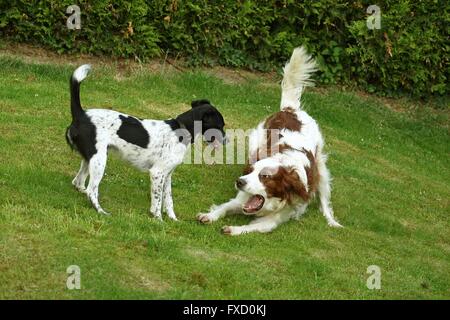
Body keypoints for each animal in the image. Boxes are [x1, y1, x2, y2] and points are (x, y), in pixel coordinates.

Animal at [65, 65, 227, 220]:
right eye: (220, 125)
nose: (227, 140)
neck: (181, 130)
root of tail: (81, 114)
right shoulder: (157, 173)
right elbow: (157, 202)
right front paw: (158, 220)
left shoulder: (168, 175)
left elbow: (168, 201)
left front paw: (173, 219)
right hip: (99, 160)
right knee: (91, 190)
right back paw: (101, 212)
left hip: (91, 159)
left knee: (78, 182)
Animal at [197, 46, 342, 234]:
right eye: (250, 170)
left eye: (265, 176)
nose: (239, 181)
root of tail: (290, 109)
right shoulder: (241, 199)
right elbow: (224, 207)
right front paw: (209, 216)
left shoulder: (274, 220)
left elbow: (251, 227)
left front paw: (234, 229)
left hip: (321, 168)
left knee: (324, 202)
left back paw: (331, 221)